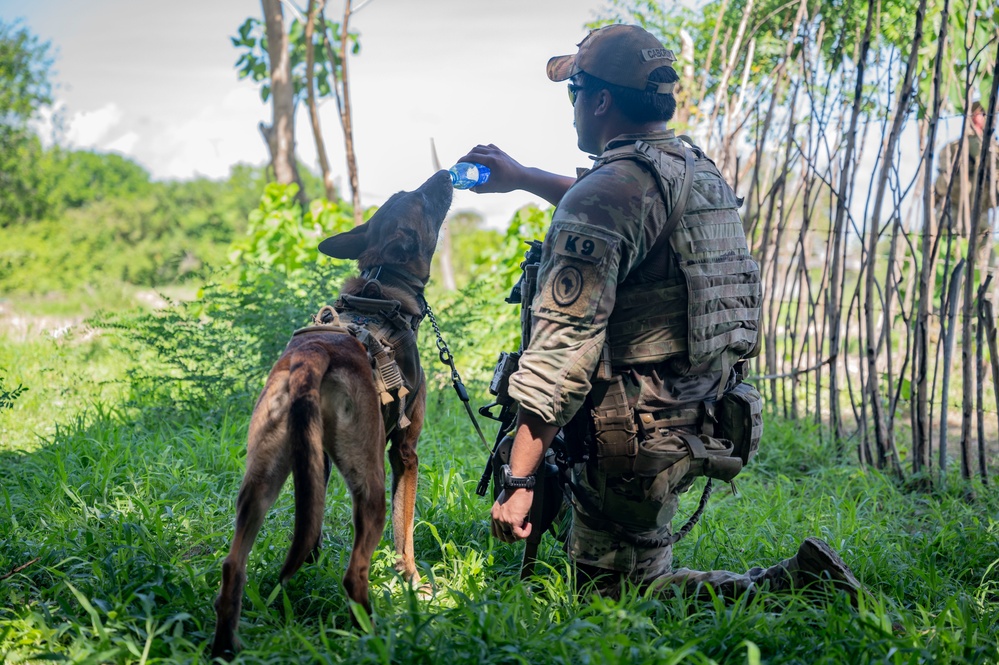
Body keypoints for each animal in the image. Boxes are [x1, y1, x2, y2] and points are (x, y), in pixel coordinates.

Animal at [215, 169, 458, 656]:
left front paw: (309, 566)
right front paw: (414, 583)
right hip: (370, 486)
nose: (445, 174)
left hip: (260, 482)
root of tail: (311, 357)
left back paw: (225, 648)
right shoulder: (404, 454)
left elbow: (312, 522)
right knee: (355, 575)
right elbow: (405, 535)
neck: (382, 286)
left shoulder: (316, 459)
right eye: (422, 199)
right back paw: (376, 638)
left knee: (233, 567)